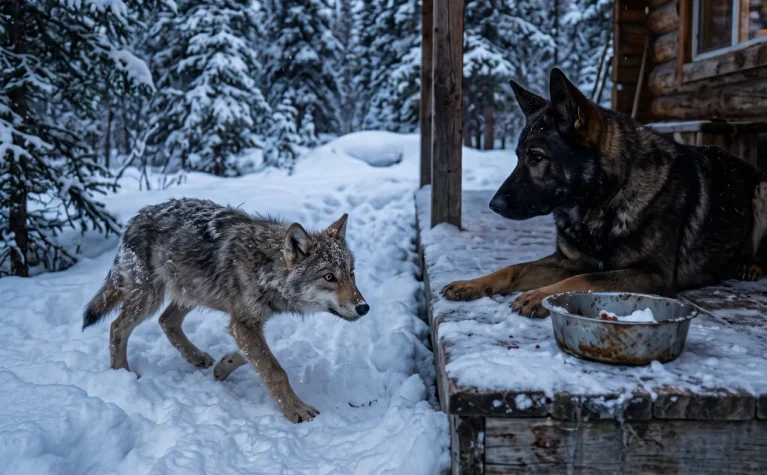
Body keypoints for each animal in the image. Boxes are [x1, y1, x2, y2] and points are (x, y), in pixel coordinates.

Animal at [82, 198, 369, 423]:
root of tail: (134, 219)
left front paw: (223, 367)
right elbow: (275, 371)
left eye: (351, 273)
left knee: (166, 321)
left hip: (193, 293)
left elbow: (254, 357)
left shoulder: (247, 322)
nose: (364, 307)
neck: (266, 267)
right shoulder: (243, 322)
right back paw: (122, 374)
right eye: (329, 277)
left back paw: (196, 357)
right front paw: (295, 410)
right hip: (150, 299)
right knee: (118, 326)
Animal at [442, 68, 767, 317]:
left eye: (536, 157)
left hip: (762, 190)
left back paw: (751, 265)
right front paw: (472, 283)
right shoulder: (566, 261)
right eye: (519, 157)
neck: (604, 201)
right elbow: (512, 268)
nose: (493, 205)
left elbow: (586, 277)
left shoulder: (651, 274)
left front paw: (539, 295)